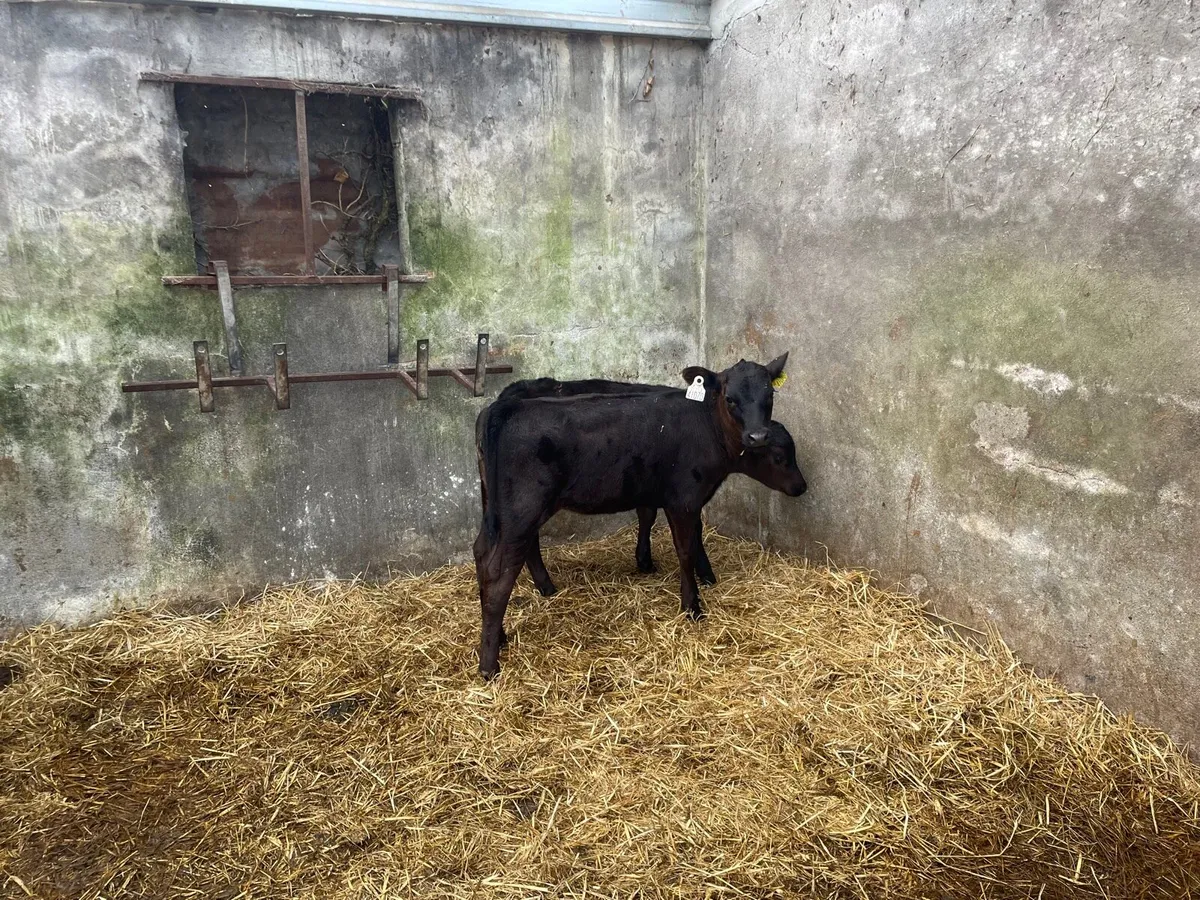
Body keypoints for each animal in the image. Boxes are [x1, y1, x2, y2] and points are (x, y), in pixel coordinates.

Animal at [473, 354, 798, 678]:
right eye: (730, 399)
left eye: (770, 395)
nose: (757, 436)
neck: (707, 425)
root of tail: (504, 407)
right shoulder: (684, 499)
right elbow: (686, 548)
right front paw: (693, 604)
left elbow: (662, 522)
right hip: (522, 510)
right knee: (499, 572)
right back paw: (489, 664)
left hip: (497, 510)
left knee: (482, 552)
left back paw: (502, 633)